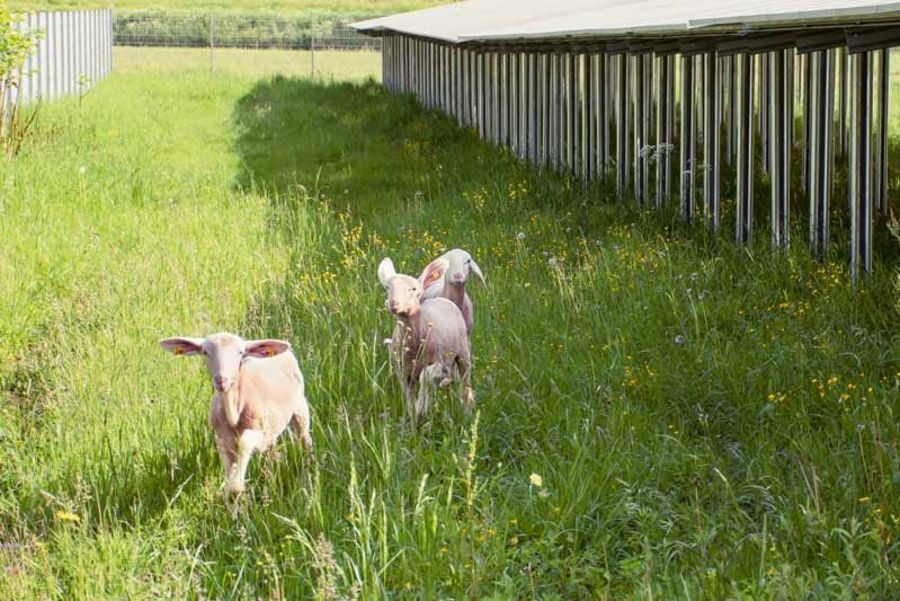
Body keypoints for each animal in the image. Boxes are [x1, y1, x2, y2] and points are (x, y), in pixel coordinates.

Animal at [159, 332, 312, 497]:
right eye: (205, 352)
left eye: (240, 352)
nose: (221, 380)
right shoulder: (222, 438)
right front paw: (233, 493)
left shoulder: (258, 433)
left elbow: (244, 444)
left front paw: (237, 487)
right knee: (271, 449)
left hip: (300, 409)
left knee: (305, 440)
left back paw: (307, 479)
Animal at [377, 257, 474, 425]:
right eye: (387, 287)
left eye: (414, 289)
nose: (393, 304)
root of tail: (442, 299)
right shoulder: (401, 369)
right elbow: (408, 395)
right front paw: (414, 416)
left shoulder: (438, 361)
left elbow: (425, 377)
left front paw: (421, 407)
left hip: (462, 352)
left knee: (464, 381)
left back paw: (467, 410)